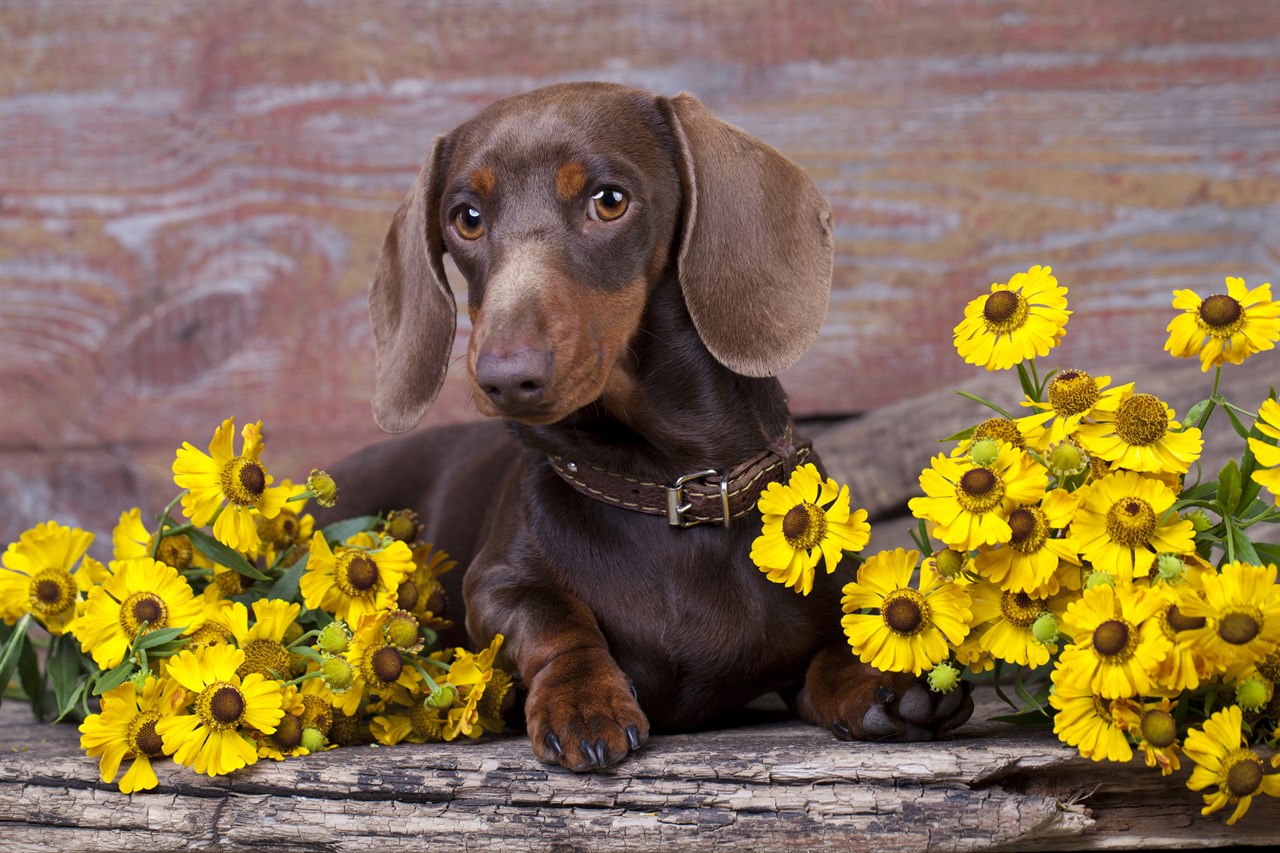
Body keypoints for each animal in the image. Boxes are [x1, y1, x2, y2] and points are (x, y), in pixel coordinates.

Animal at [325, 81, 972, 768]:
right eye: (466, 218)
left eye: (609, 201)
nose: (503, 377)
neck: (663, 485)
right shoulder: (493, 585)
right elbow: (552, 616)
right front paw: (583, 697)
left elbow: (832, 654)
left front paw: (884, 689)